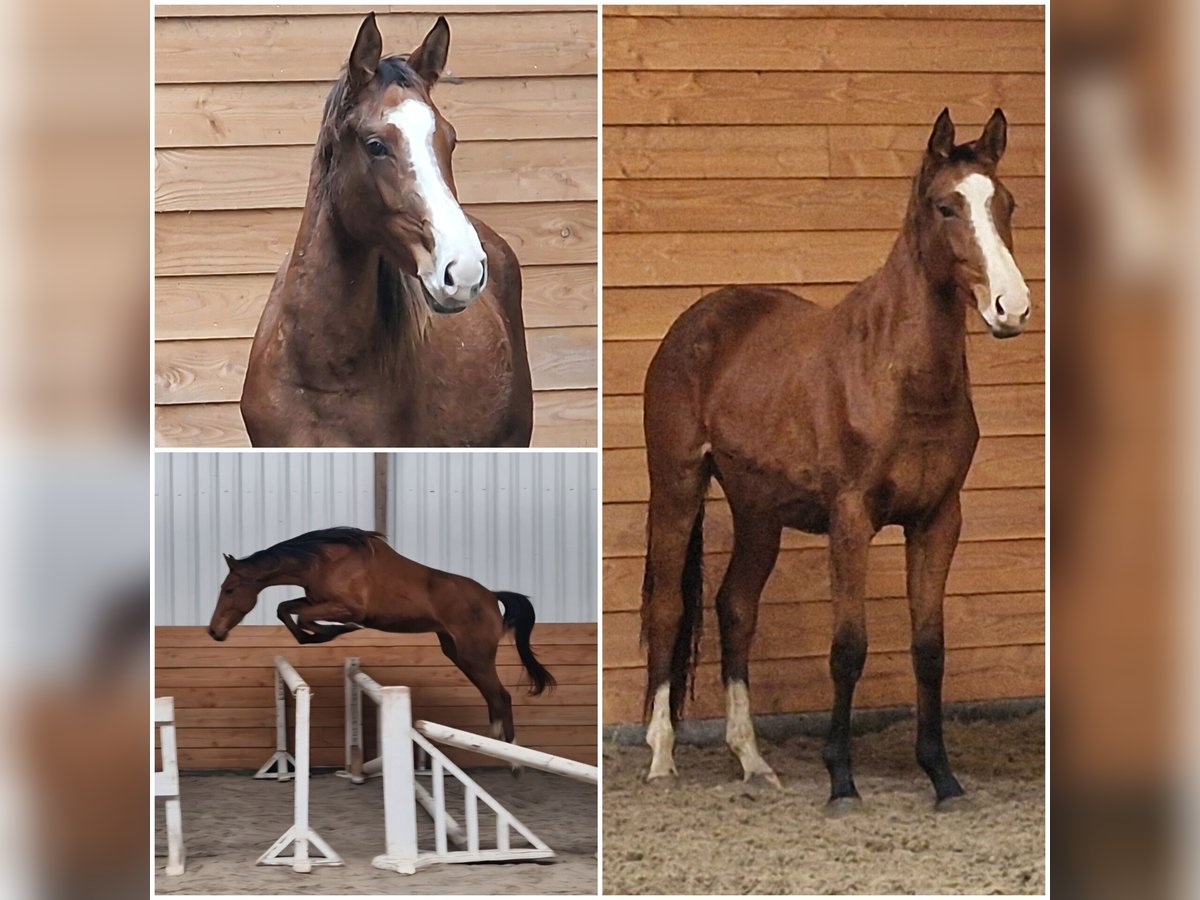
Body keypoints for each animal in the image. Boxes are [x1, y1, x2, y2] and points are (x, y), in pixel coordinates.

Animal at [206, 527, 555, 745]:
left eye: (230, 589)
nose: (214, 631)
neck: (323, 561)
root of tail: (492, 597)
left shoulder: (346, 607)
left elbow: (305, 617)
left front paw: (334, 632)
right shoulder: (315, 599)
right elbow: (285, 609)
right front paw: (318, 636)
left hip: (475, 654)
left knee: (501, 696)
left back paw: (513, 758)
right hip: (459, 654)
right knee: (492, 696)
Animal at [639, 108, 1032, 811]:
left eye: (1005, 203)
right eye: (946, 207)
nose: (1010, 308)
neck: (898, 377)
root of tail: (697, 321)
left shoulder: (938, 520)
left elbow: (929, 649)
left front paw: (942, 777)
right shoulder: (852, 520)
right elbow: (849, 648)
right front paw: (842, 780)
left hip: (758, 512)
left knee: (735, 608)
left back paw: (753, 760)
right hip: (678, 487)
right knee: (668, 608)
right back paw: (661, 759)